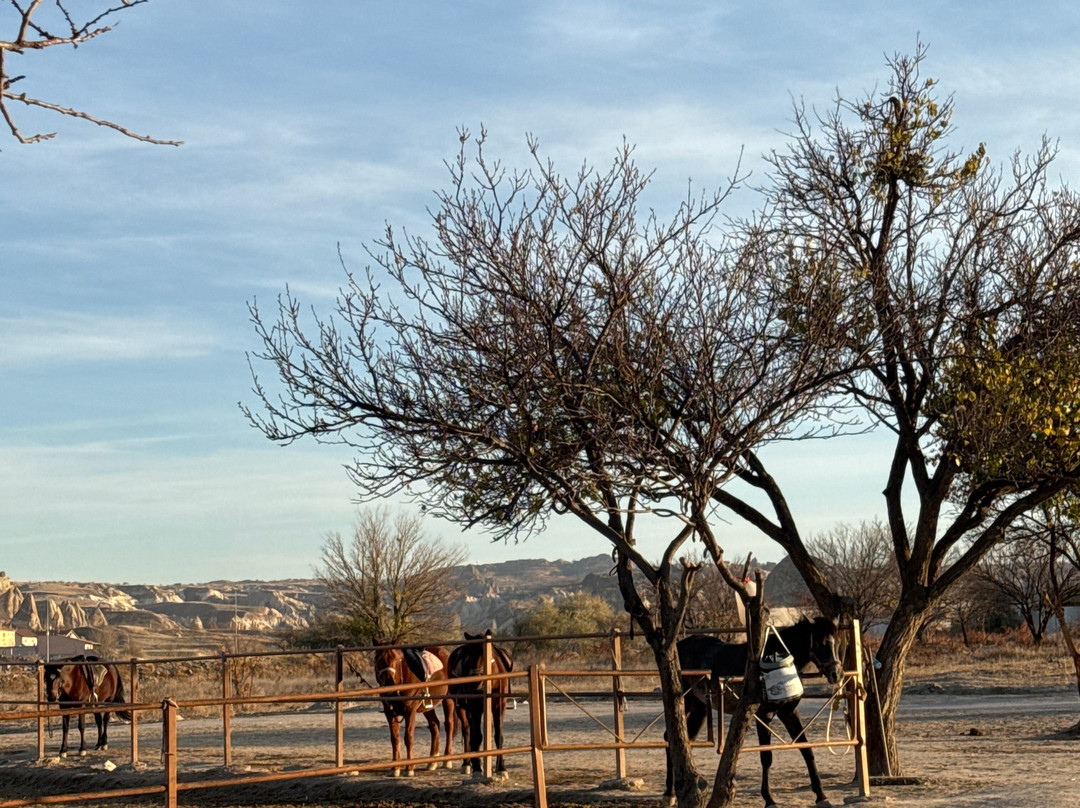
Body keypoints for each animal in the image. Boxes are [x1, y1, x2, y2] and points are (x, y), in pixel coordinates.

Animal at [372, 641, 455, 776]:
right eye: (378, 660)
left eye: (396, 659)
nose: (389, 682)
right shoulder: (390, 713)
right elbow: (395, 738)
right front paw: (395, 768)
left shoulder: (410, 712)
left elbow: (408, 737)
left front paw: (409, 768)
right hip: (428, 706)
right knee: (434, 725)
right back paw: (432, 761)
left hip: (448, 700)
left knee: (449, 725)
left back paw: (447, 759)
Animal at [446, 631, 513, 777]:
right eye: (469, 655)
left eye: (485, 654)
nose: (475, 683)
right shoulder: (475, 708)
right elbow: (476, 736)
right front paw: (477, 768)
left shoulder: (499, 707)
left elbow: (498, 735)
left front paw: (501, 768)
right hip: (462, 708)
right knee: (467, 731)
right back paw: (467, 763)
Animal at [665, 617, 843, 808]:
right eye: (820, 642)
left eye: (838, 642)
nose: (836, 674)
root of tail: (678, 647)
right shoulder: (764, 716)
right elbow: (766, 757)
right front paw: (769, 799)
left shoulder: (789, 713)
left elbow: (806, 750)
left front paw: (821, 795)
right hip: (684, 703)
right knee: (671, 738)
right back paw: (670, 793)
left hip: (700, 709)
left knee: (685, 741)